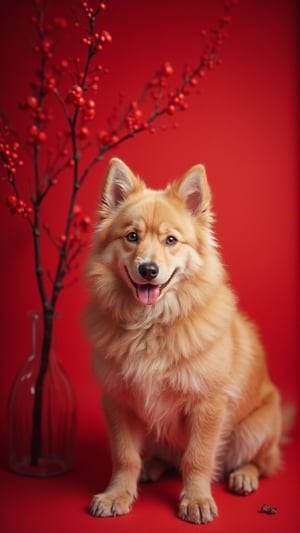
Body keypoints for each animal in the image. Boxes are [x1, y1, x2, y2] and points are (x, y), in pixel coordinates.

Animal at [84, 158, 282, 524]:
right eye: (132, 236)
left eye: (171, 240)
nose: (148, 270)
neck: (151, 325)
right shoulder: (118, 401)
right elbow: (124, 456)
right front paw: (118, 494)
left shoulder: (207, 405)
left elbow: (197, 458)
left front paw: (197, 500)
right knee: (165, 458)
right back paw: (151, 466)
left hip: (253, 429)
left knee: (263, 463)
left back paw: (244, 475)